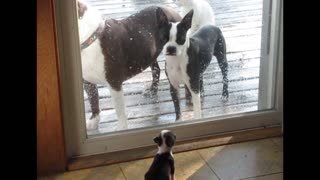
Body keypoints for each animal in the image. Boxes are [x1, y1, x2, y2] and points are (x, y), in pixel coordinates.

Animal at [77, 0, 181, 129]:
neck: (91, 38)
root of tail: (171, 9)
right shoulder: (87, 81)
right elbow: (93, 99)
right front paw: (94, 120)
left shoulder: (114, 83)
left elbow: (119, 109)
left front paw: (122, 128)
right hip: (150, 53)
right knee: (156, 69)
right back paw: (152, 90)